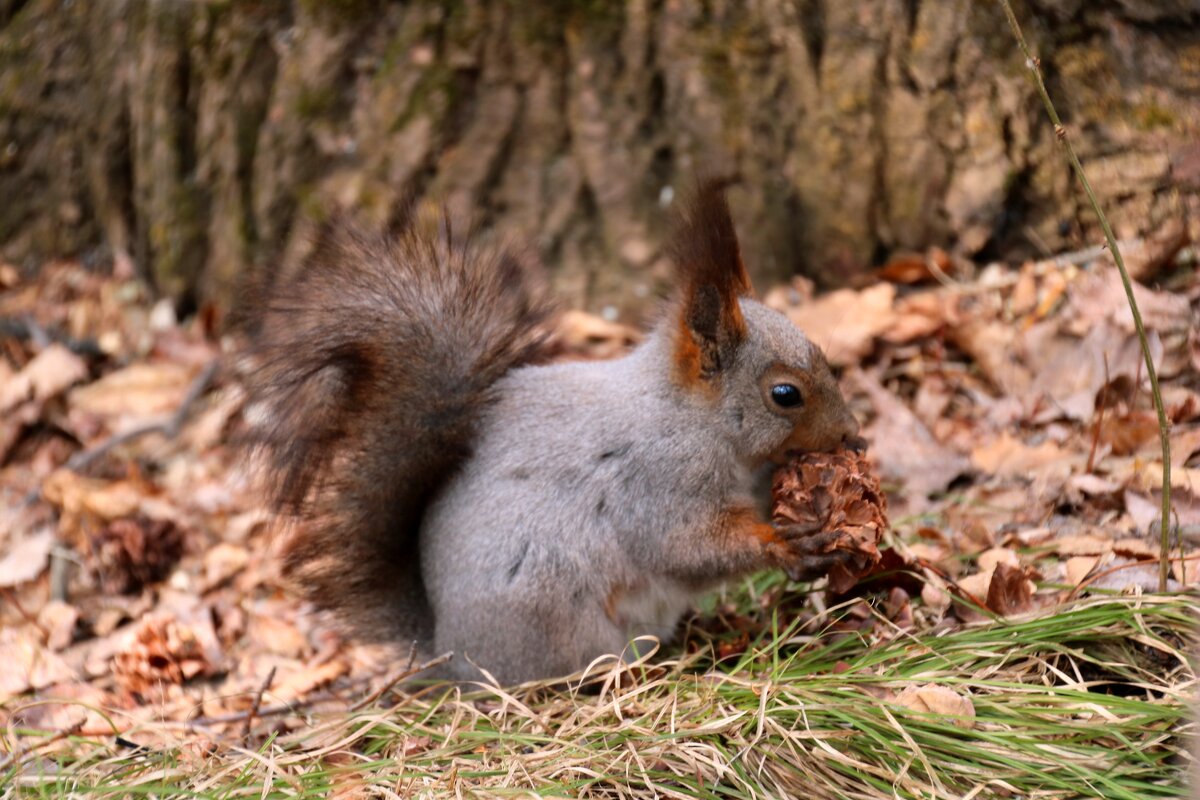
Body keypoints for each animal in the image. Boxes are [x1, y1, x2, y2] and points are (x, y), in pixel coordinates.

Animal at [243, 184, 864, 686]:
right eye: (785, 394)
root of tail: (449, 651)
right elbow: (687, 546)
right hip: (555, 613)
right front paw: (787, 544)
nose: (852, 436)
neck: (693, 419)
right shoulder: (657, 481)